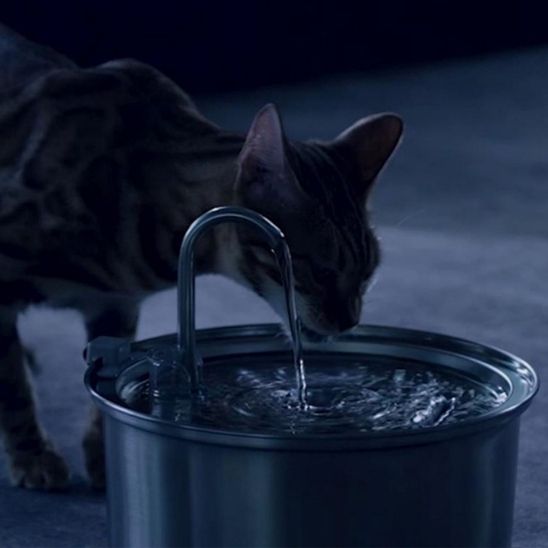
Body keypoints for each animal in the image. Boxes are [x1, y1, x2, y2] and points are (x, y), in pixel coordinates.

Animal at [0, 23, 402, 490]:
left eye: (367, 274)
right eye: (320, 272)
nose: (350, 321)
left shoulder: (114, 306)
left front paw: (103, 458)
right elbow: (13, 387)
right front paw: (33, 456)